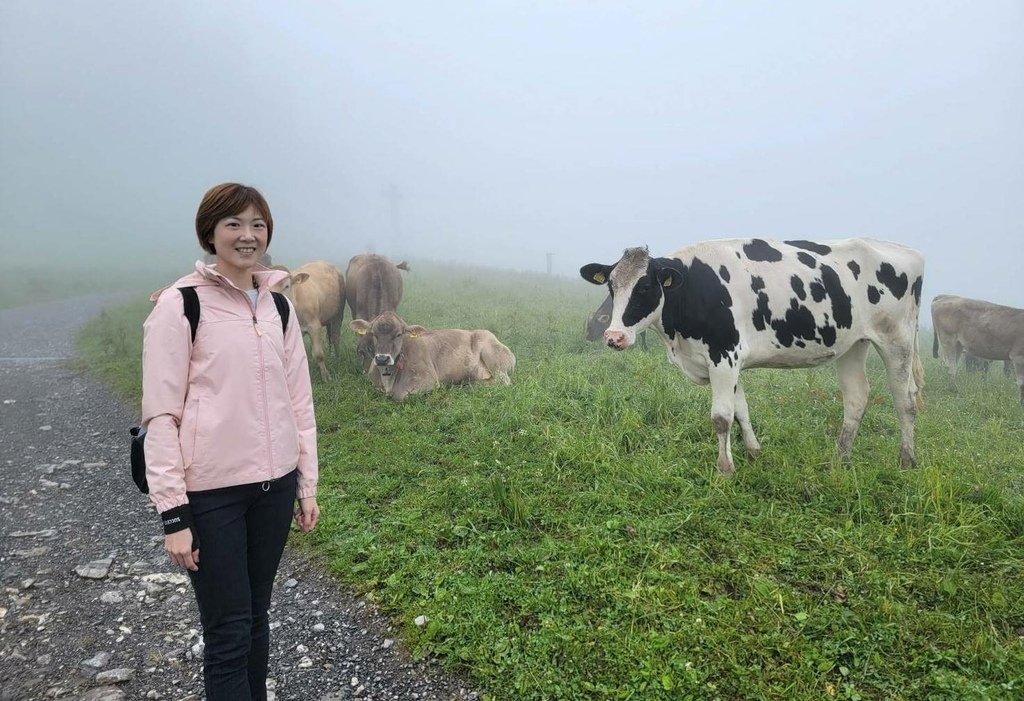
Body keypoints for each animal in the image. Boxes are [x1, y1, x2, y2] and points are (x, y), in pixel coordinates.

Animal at [348, 311, 516, 401]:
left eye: (399, 334)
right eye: (373, 334)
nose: (382, 358)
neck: (388, 380)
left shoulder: (428, 380)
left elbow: (400, 395)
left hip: (496, 360)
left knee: (504, 382)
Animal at [585, 237, 929, 472]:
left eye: (645, 288)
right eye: (612, 286)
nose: (614, 337)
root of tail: (907, 251)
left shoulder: (724, 355)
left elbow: (721, 417)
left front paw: (725, 468)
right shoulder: (728, 361)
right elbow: (741, 410)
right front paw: (753, 452)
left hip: (896, 340)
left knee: (905, 401)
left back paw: (907, 460)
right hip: (853, 343)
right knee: (857, 397)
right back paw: (840, 458)